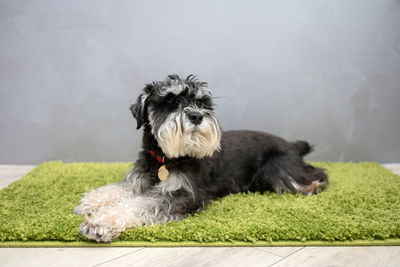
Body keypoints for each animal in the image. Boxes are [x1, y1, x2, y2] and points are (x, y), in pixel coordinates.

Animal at [74, 75, 328, 243]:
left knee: (317, 173)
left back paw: (313, 186)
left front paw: (99, 224)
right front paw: (89, 203)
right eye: (171, 100)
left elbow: (138, 205)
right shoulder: (137, 181)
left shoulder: (182, 195)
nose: (196, 116)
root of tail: (292, 145)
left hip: (277, 168)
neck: (164, 159)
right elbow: (116, 190)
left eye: (202, 103)